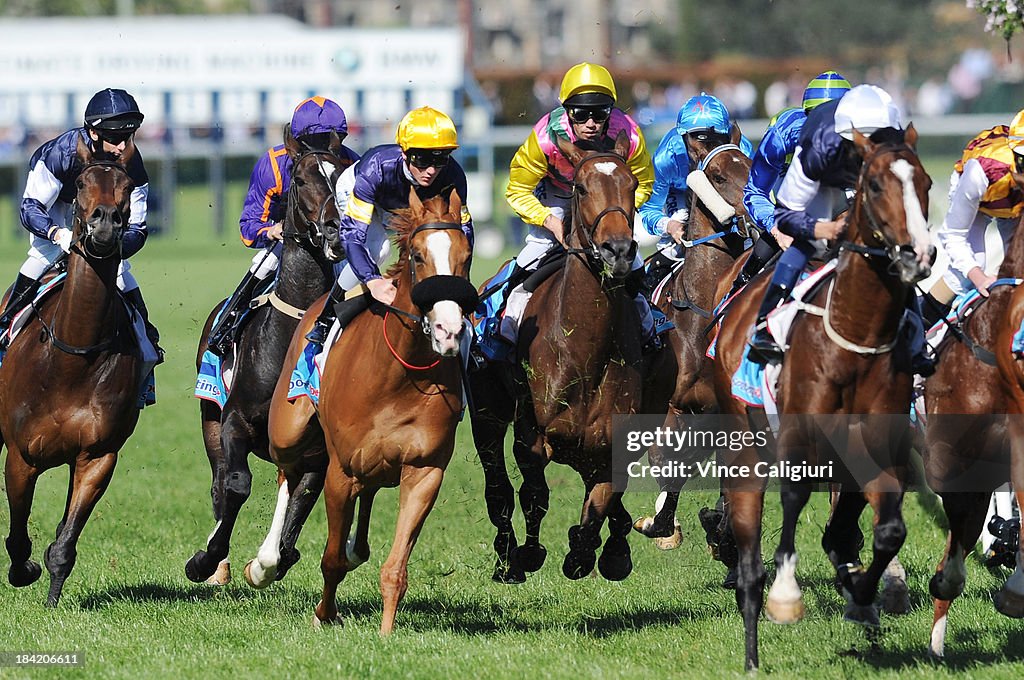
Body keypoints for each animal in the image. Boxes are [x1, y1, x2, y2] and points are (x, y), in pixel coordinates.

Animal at [0, 134, 147, 606]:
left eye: (125, 185)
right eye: (80, 183)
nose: (105, 224)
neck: (71, 359)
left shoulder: (97, 456)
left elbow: (65, 541)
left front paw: (52, 594)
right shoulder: (21, 456)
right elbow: (17, 537)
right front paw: (23, 570)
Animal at [182, 130, 346, 585]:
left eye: (343, 176)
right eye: (302, 180)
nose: (335, 229)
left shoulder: (316, 446)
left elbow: (303, 494)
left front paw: (269, 561)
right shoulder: (235, 420)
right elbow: (236, 484)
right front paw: (206, 560)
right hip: (209, 415)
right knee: (220, 481)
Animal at [247, 187, 475, 630]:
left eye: (466, 256)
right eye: (418, 256)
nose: (448, 331)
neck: (399, 373)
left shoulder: (425, 471)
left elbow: (395, 568)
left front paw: (386, 632)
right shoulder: (342, 470)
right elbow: (331, 559)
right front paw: (323, 614)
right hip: (287, 430)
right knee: (288, 474)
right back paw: (265, 562)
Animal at [468, 131, 675, 585]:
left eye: (633, 186)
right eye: (580, 188)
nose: (618, 250)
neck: (584, 350)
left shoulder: (613, 439)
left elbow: (600, 503)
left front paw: (593, 552)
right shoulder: (531, 435)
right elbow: (535, 493)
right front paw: (529, 554)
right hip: (486, 410)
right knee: (498, 487)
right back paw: (507, 555)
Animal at [708, 125, 933, 667]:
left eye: (927, 183)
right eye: (876, 185)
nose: (918, 252)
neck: (855, 333)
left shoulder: (874, 443)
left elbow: (883, 527)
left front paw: (865, 597)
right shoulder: (800, 438)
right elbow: (796, 501)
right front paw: (787, 596)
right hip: (745, 445)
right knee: (749, 564)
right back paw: (752, 652)